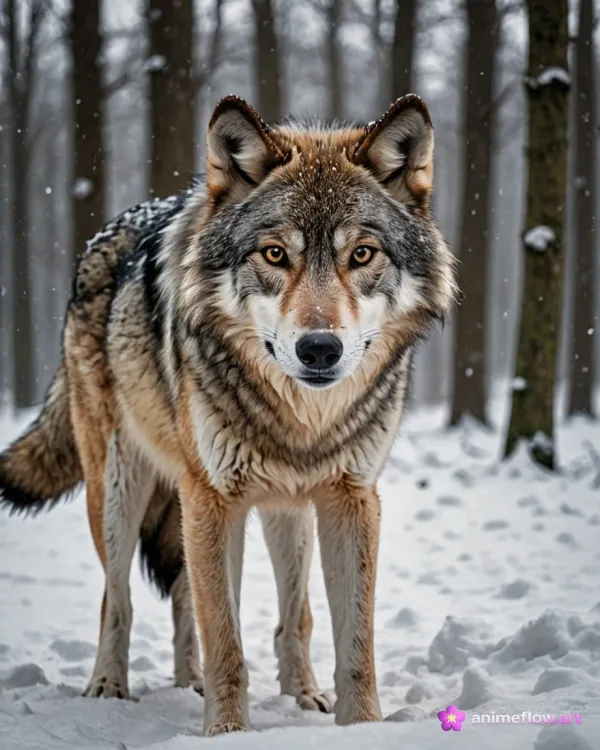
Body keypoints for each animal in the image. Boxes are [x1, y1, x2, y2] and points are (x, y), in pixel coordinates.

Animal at [0, 94, 456, 735]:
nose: (320, 349)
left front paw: (362, 728)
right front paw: (225, 734)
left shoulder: (352, 498)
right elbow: (226, 639)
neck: (302, 421)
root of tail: (101, 240)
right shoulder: (212, 496)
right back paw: (109, 688)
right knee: (120, 598)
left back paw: (272, 691)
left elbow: (353, 645)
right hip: (121, 490)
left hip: (279, 512)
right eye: (275, 254)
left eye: (362, 254)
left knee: (265, 610)